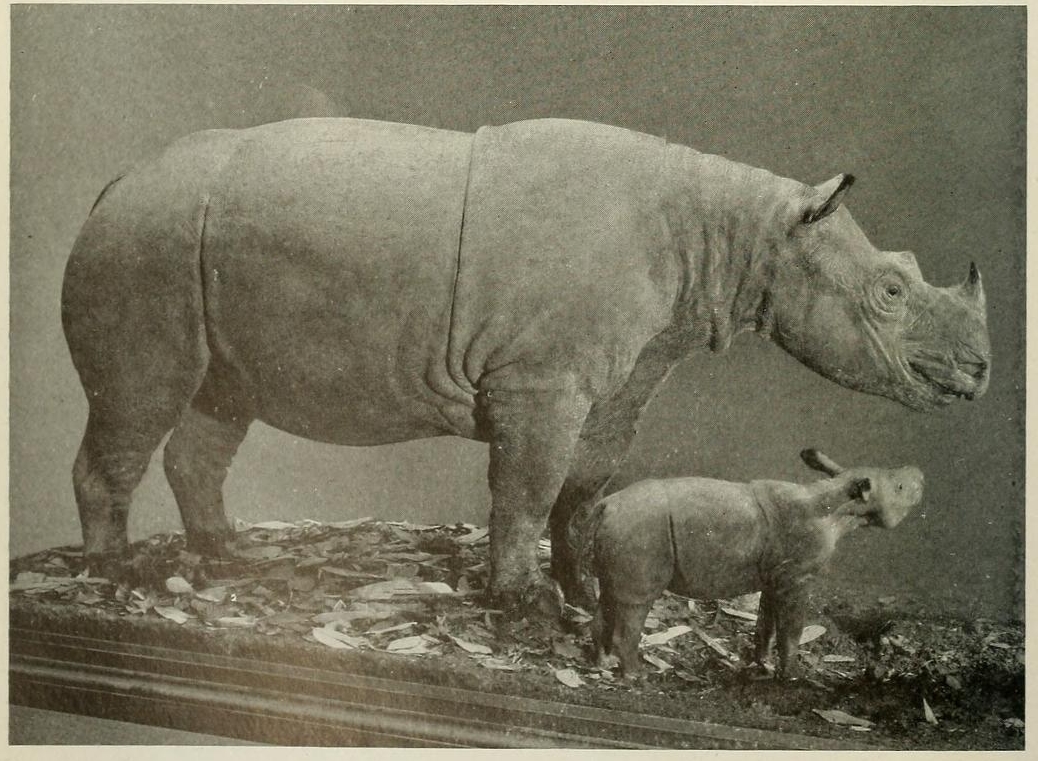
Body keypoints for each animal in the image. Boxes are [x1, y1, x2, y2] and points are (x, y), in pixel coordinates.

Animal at [61, 117, 990, 616]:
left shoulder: (622, 375)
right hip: (145, 242)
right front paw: (522, 604)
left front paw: (582, 586)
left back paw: (226, 555)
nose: (980, 371)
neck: (746, 232)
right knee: (139, 403)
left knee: (216, 404)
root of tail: (114, 182)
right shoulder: (539, 379)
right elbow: (528, 485)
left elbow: (584, 482)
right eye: (891, 291)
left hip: (186, 243)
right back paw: (114, 575)